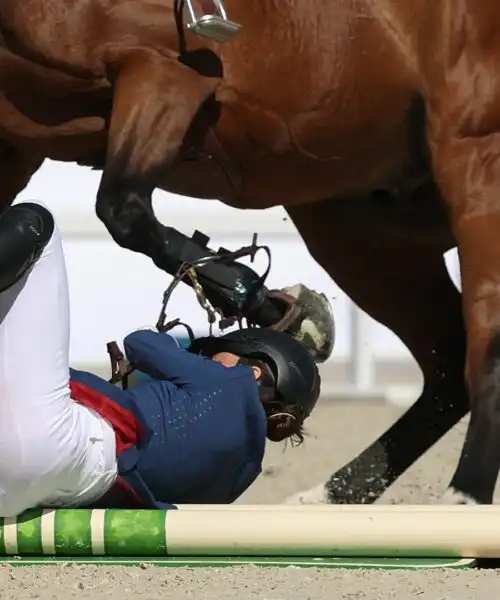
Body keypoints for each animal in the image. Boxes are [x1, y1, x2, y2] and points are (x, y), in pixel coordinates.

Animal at [0, 0, 496, 504]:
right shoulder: (16, 145)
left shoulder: (166, 73)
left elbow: (124, 210)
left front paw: (260, 300)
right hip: (354, 224)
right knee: (448, 361)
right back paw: (326, 497)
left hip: (473, 165)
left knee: (483, 352)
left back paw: (462, 501)